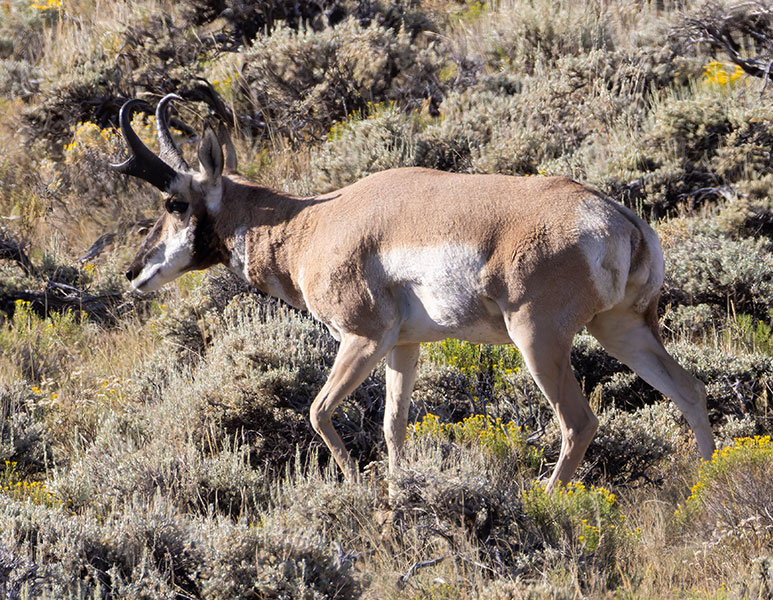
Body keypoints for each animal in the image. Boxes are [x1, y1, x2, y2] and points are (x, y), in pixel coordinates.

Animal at [113, 94, 715, 495]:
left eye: (174, 203)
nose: (133, 271)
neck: (312, 223)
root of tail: (615, 216)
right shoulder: (404, 348)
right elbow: (392, 423)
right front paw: (399, 489)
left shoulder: (361, 338)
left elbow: (317, 412)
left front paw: (359, 489)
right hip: (620, 328)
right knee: (688, 390)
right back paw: (710, 480)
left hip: (538, 341)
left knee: (579, 422)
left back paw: (546, 500)